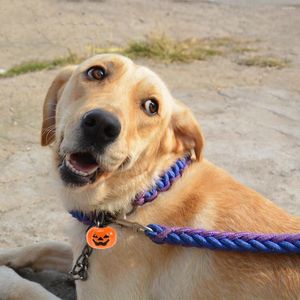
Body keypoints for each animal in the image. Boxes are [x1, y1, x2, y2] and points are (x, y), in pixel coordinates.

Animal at [0, 54, 300, 300]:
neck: (138, 199)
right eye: (96, 72)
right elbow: (45, 245)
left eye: (151, 106)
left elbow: (27, 288)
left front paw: (6, 277)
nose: (102, 125)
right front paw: (6, 257)